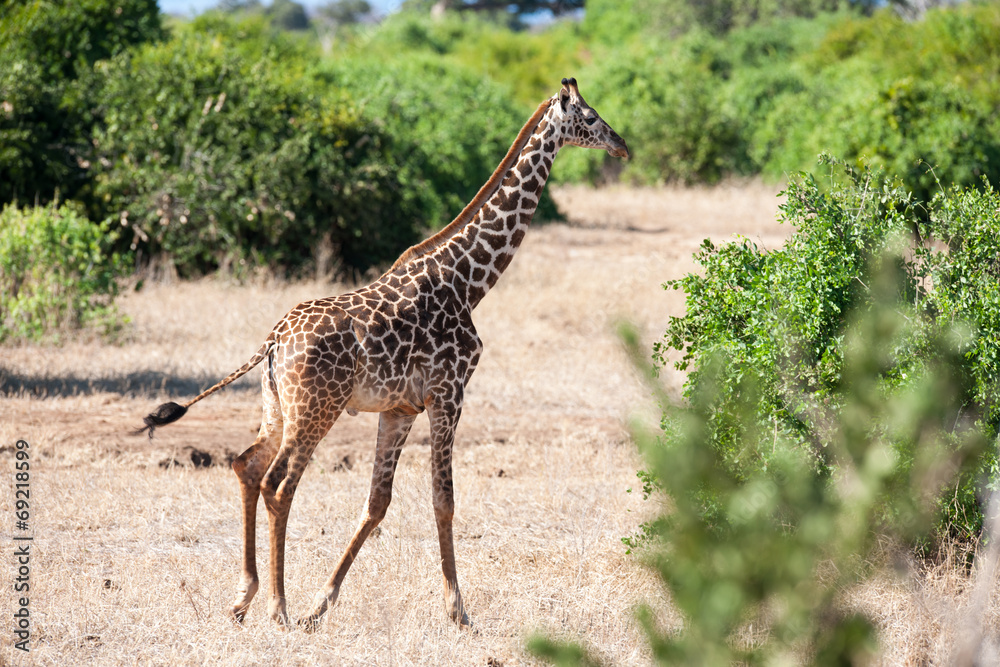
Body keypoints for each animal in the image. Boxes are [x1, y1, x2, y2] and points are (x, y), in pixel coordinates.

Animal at [138, 77, 629, 630]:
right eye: (590, 117)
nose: (622, 146)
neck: (468, 281)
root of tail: (273, 340)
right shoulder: (448, 393)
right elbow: (443, 500)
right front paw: (458, 611)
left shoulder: (400, 409)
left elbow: (377, 502)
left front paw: (321, 604)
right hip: (317, 408)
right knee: (279, 484)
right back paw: (277, 607)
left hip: (276, 405)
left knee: (246, 466)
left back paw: (245, 597)